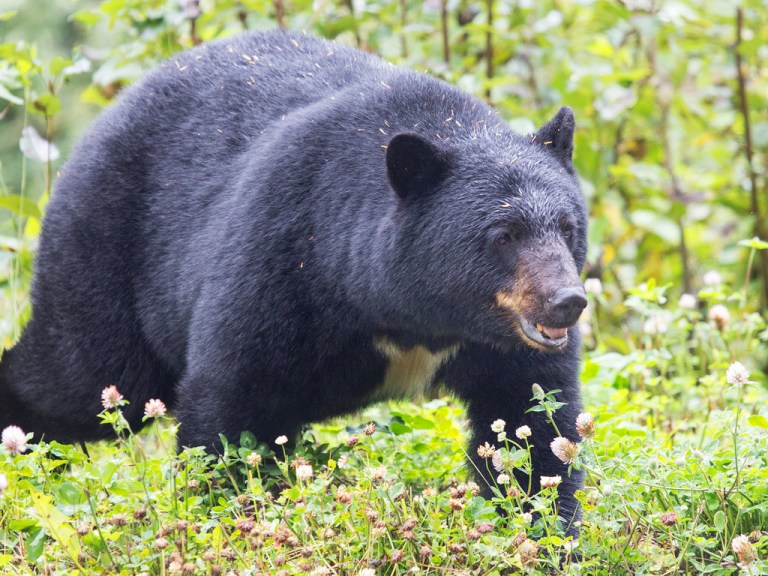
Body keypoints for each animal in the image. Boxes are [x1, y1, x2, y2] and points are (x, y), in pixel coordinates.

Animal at [0, 30, 588, 533]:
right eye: (503, 235)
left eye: (567, 227)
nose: (567, 301)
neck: (411, 317)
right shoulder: (283, 256)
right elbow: (231, 399)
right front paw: (227, 512)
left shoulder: (503, 344)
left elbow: (532, 420)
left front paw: (543, 530)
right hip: (104, 249)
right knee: (79, 377)